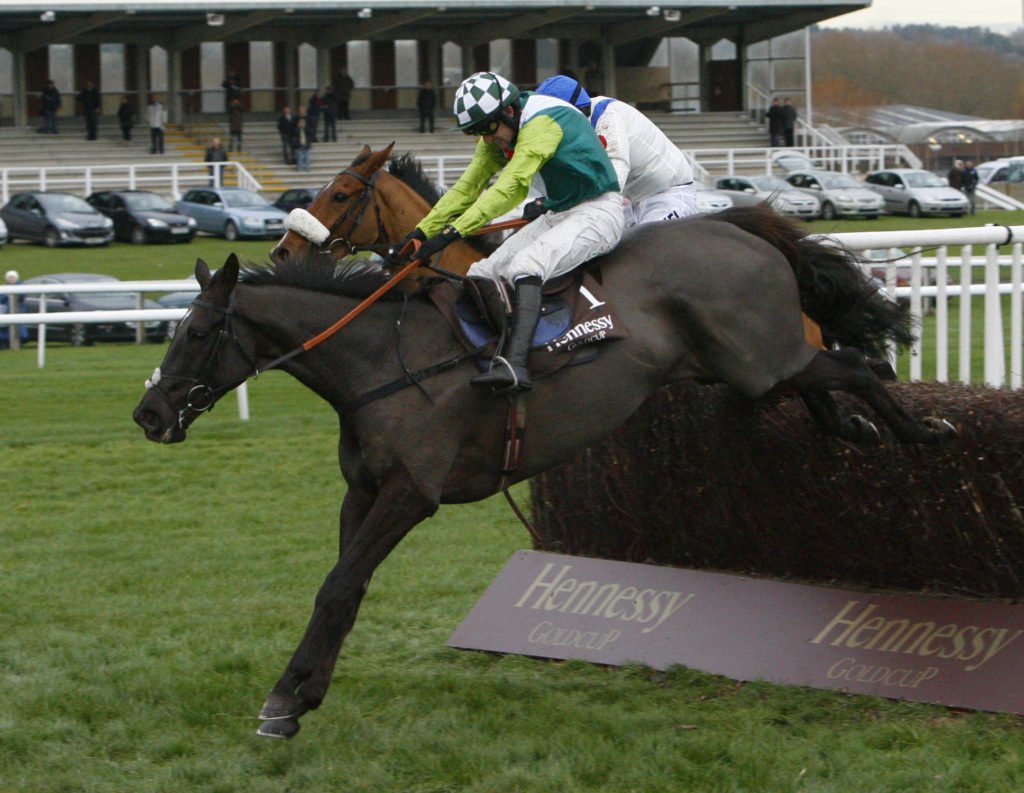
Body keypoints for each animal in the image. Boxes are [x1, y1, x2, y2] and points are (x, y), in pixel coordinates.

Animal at [134, 219, 950, 737]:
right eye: (173, 330)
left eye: (197, 332)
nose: (148, 413)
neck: (377, 362)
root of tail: (745, 232)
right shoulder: (361, 491)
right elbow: (345, 588)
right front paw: (301, 695)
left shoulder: (410, 494)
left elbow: (338, 586)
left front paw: (283, 696)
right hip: (751, 365)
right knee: (824, 373)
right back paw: (855, 426)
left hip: (758, 356)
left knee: (859, 364)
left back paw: (922, 430)